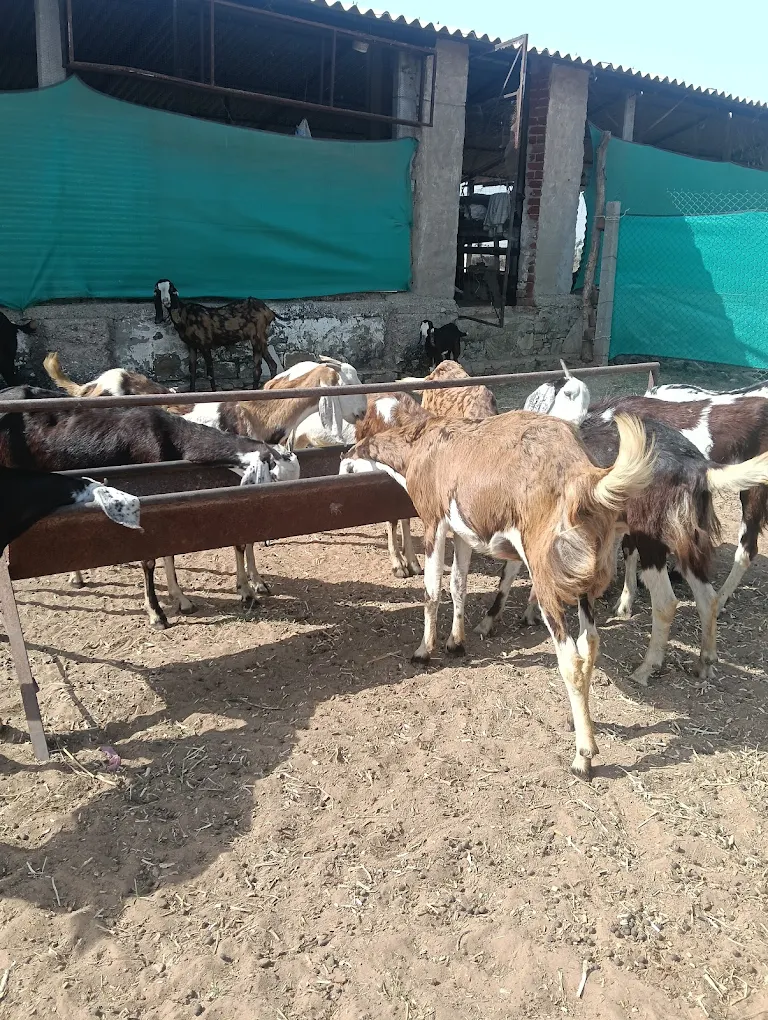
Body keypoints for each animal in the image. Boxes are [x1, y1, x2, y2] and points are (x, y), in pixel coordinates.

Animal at [154, 280, 283, 392]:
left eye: (171, 289)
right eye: (158, 291)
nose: (166, 301)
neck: (184, 315)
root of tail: (268, 310)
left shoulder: (205, 344)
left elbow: (210, 372)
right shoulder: (191, 346)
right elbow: (192, 370)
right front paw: (192, 391)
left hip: (256, 337)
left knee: (257, 369)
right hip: (262, 339)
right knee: (272, 364)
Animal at [341, 394, 655, 780]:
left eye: (361, 425)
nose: (345, 458)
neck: (424, 442)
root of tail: (583, 477)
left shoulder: (433, 521)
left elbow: (432, 591)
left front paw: (423, 651)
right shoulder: (461, 530)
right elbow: (457, 584)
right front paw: (456, 643)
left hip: (545, 576)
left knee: (570, 657)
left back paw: (583, 758)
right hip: (581, 579)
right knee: (590, 642)